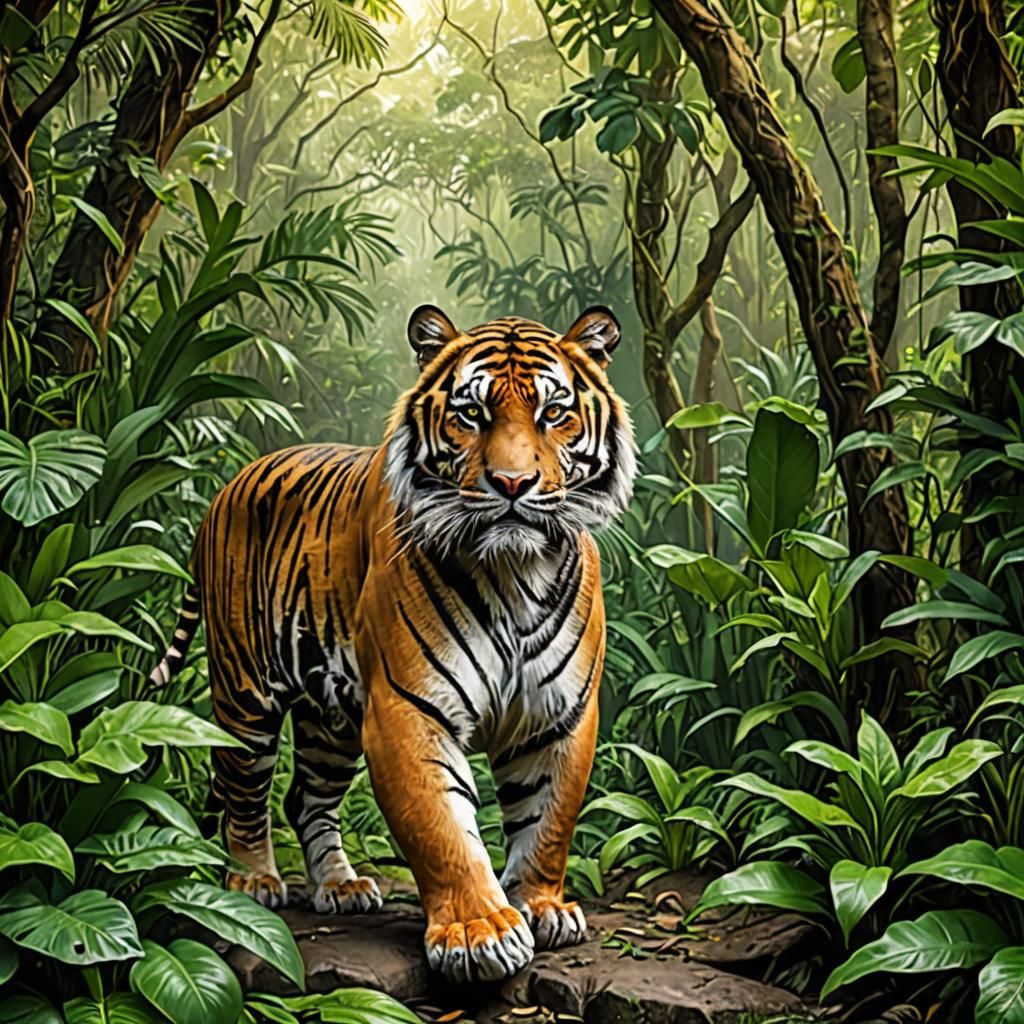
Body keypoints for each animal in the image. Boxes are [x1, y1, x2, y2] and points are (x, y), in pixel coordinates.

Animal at [149, 304, 636, 983]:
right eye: (470, 413)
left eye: (552, 412)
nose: (513, 483)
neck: (516, 572)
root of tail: (226, 486)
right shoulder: (409, 708)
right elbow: (443, 828)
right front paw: (479, 932)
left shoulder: (559, 715)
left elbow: (548, 820)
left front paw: (543, 906)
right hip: (246, 696)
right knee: (245, 792)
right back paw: (253, 882)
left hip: (330, 718)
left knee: (306, 796)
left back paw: (341, 886)